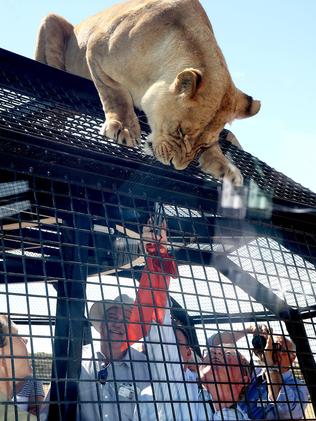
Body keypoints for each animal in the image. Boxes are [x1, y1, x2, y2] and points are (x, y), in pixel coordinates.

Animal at [35, 0, 260, 184]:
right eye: (180, 131)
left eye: (202, 146)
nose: (176, 166)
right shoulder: (95, 48)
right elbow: (114, 93)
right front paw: (123, 128)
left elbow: (216, 149)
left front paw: (226, 168)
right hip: (51, 21)